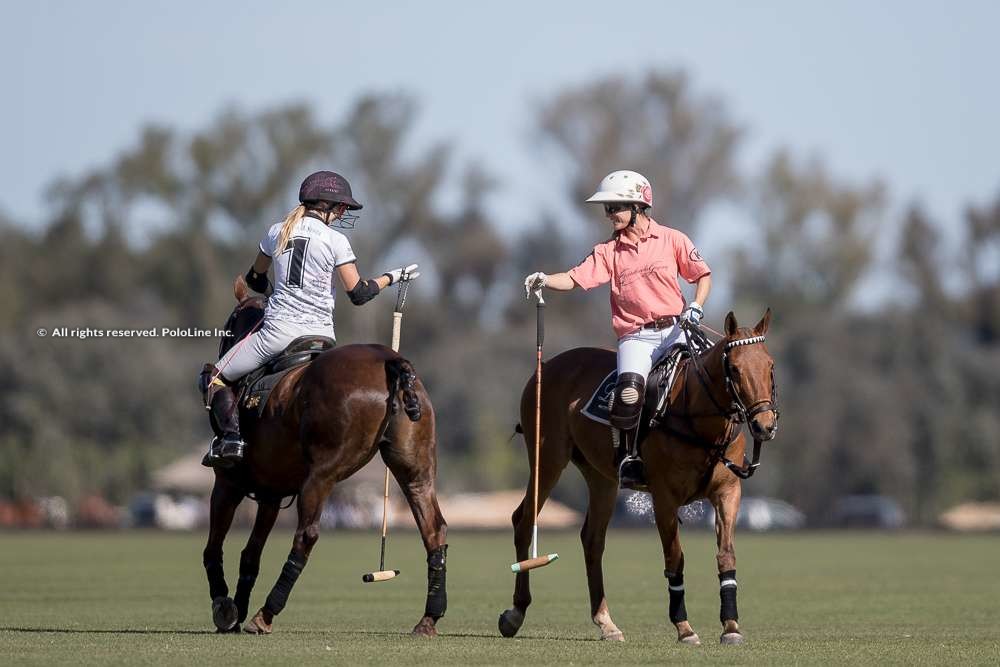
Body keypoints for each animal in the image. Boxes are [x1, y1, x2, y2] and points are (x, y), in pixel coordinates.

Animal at [201, 276, 448, 636]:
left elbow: (213, 548)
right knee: (434, 529)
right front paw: (237, 609)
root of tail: (391, 361)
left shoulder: (227, 483)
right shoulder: (272, 493)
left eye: (231, 323)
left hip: (322, 473)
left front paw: (224, 607)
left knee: (308, 534)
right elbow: (250, 555)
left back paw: (266, 614)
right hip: (415, 466)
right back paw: (429, 617)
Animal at [500, 312, 780, 648]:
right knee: (523, 520)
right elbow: (675, 557)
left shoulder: (728, 492)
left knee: (592, 539)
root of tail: (546, 367)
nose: (764, 426)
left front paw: (731, 626)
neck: (699, 416)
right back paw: (515, 613)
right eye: (735, 369)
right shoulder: (664, 497)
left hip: (601, 477)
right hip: (548, 459)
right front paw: (684, 628)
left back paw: (606, 622)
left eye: (770, 365)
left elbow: (726, 555)